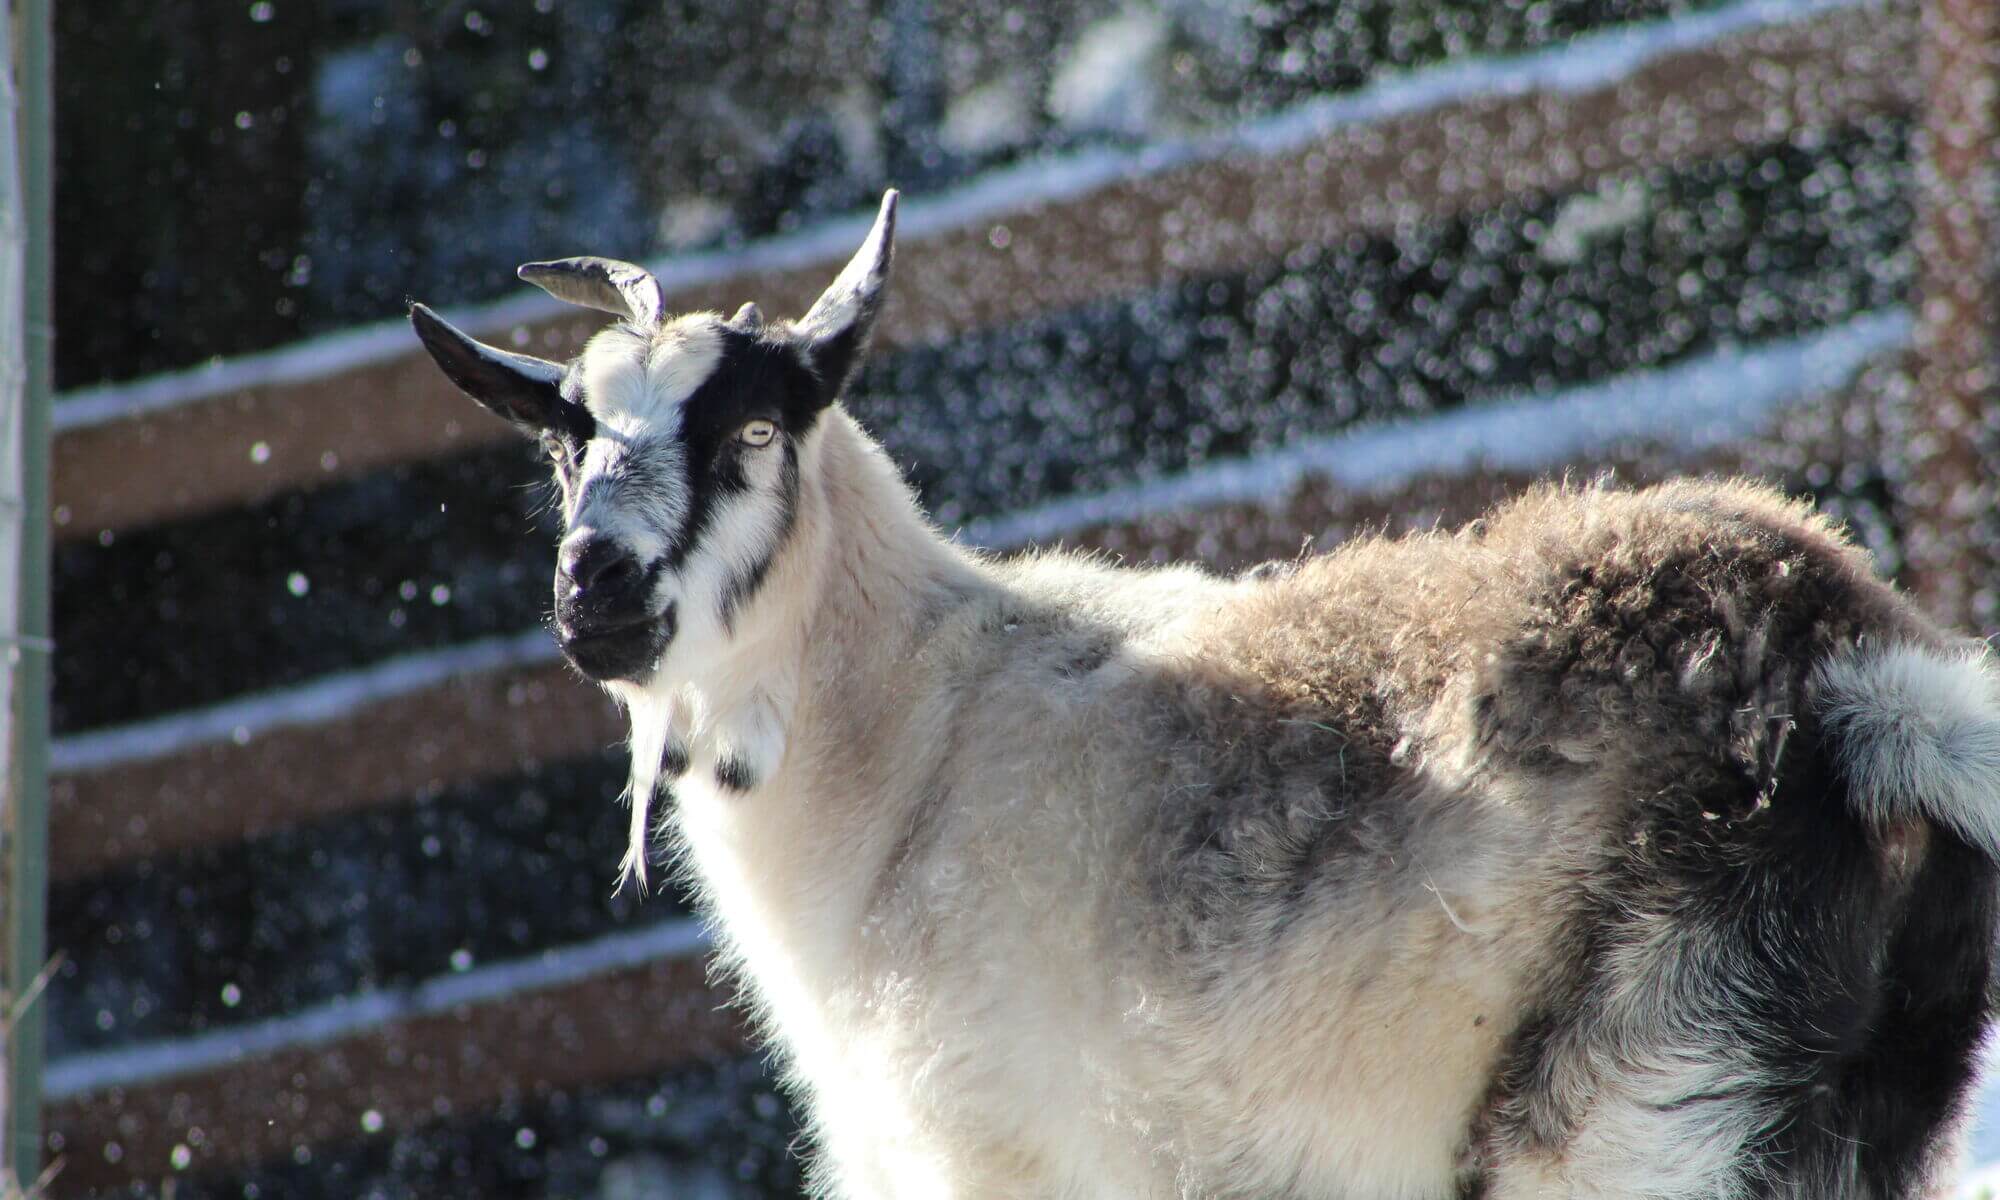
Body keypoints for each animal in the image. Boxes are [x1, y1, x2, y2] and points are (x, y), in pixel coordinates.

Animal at [411, 190, 2000, 1198]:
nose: (596, 598)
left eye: (750, 430)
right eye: (566, 444)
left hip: (1635, 1097)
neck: (904, 725)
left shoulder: (988, 1159)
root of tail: (1849, 662)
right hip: (1828, 1118)